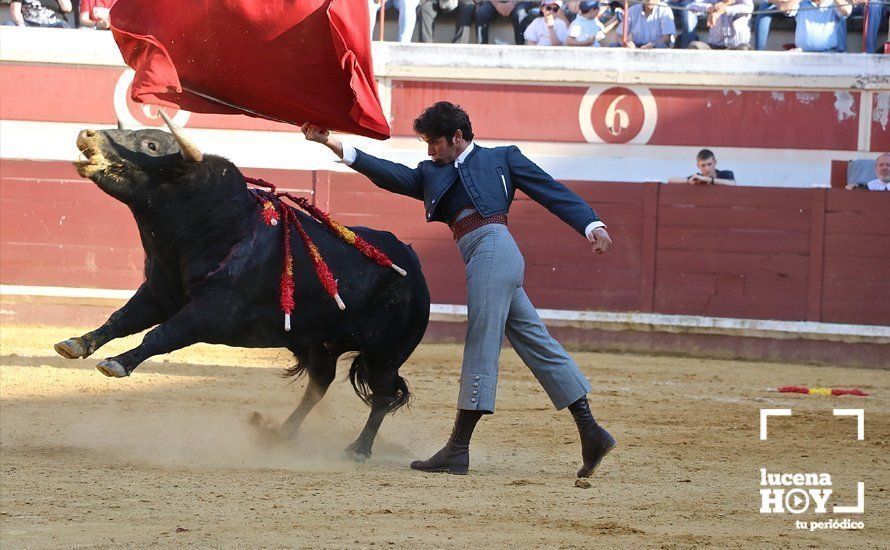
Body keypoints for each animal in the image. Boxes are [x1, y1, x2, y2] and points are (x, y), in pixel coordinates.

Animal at [52, 121, 430, 462]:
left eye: (150, 145)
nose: (86, 134)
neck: (217, 225)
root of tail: (414, 264)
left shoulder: (211, 312)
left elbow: (160, 334)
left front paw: (116, 363)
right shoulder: (159, 293)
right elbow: (120, 319)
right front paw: (77, 344)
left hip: (384, 353)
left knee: (382, 396)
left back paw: (359, 449)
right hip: (321, 343)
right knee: (319, 384)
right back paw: (282, 433)